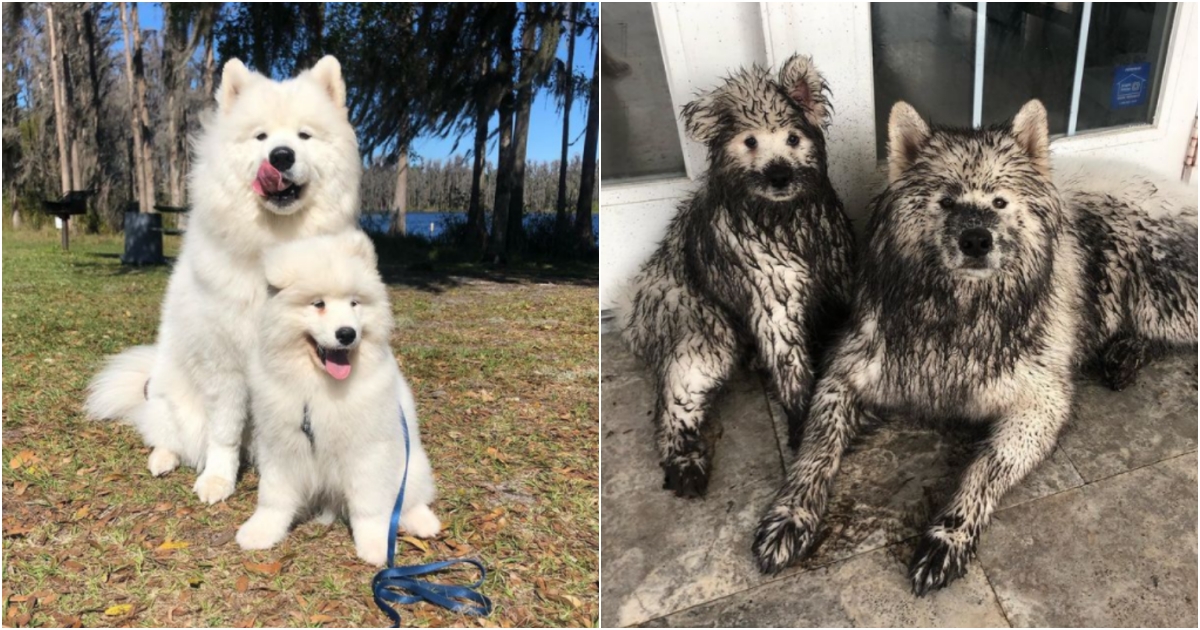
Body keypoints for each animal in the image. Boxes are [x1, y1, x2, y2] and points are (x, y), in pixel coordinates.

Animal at [87, 56, 362, 504]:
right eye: (261, 136)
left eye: (304, 135)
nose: (280, 156)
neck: (274, 245)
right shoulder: (225, 366)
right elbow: (224, 433)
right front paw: (217, 479)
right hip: (173, 402)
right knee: (165, 432)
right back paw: (162, 458)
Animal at [234, 228, 441, 561]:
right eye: (318, 304)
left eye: (355, 303)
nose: (347, 334)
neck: (319, 386)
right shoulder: (280, 444)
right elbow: (273, 496)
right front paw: (261, 531)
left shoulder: (367, 451)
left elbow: (370, 506)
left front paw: (376, 545)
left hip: (412, 463)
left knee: (411, 497)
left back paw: (423, 522)